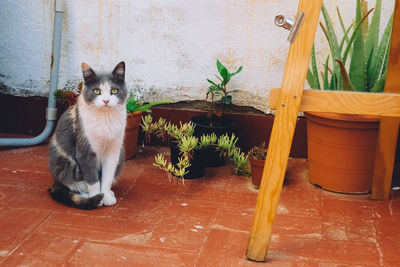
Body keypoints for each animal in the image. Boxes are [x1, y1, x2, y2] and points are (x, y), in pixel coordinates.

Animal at [48, 61, 128, 210]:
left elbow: (107, 178)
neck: (105, 118)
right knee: (73, 184)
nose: (106, 100)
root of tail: (54, 182)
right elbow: (92, 180)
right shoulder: (85, 151)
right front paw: (97, 198)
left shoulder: (113, 151)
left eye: (114, 91)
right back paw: (86, 197)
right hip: (64, 163)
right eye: (96, 91)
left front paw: (106, 196)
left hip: (121, 154)